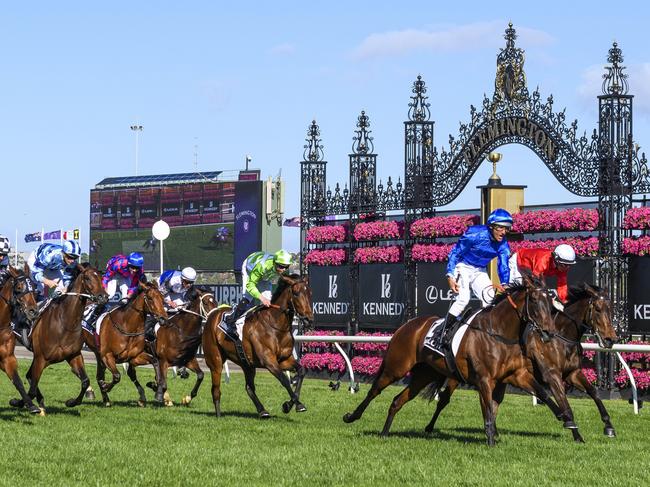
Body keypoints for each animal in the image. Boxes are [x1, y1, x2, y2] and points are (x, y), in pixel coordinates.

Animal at [0, 268, 40, 414]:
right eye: (18, 287)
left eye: (33, 287)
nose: (33, 311)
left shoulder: (7, 357)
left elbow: (17, 381)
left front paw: (32, 405)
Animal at [10, 264, 107, 414]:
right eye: (87, 278)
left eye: (101, 277)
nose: (103, 297)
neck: (65, 324)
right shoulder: (41, 358)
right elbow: (31, 388)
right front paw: (17, 402)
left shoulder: (73, 355)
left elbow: (85, 381)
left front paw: (71, 402)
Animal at [204, 274, 312, 420]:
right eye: (296, 293)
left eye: (309, 293)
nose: (308, 319)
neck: (276, 326)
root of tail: (213, 314)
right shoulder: (269, 361)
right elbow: (284, 380)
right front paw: (295, 405)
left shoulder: (284, 359)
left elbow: (301, 371)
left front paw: (291, 405)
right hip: (215, 361)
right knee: (215, 388)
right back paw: (219, 415)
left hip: (247, 364)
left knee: (249, 388)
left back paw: (262, 411)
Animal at [344, 274, 568, 446]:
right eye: (535, 300)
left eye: (550, 303)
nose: (549, 332)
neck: (498, 332)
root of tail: (406, 326)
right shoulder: (484, 379)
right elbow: (488, 409)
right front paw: (490, 440)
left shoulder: (517, 375)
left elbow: (543, 393)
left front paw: (565, 418)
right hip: (396, 367)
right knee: (375, 390)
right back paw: (352, 416)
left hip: (424, 374)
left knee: (397, 400)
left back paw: (384, 432)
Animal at [422, 284, 616, 444]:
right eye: (598, 309)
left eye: (611, 309)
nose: (611, 339)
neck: (560, 337)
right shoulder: (552, 375)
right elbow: (564, 404)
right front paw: (577, 434)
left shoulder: (573, 373)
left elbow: (594, 393)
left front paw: (609, 427)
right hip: (456, 376)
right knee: (444, 400)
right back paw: (429, 427)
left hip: (501, 379)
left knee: (494, 403)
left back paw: (494, 432)